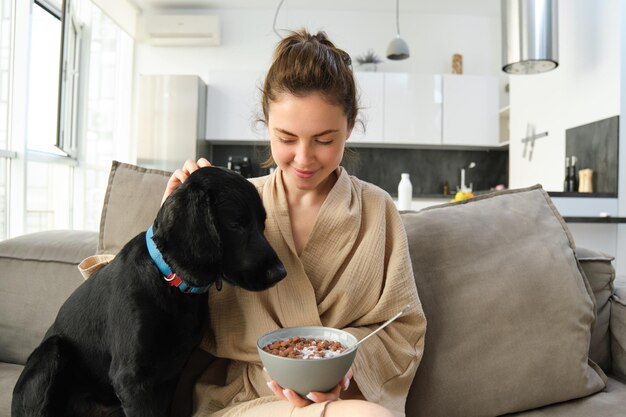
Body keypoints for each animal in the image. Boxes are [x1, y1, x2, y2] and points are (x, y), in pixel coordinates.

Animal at [12, 167, 286, 416]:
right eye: (236, 224)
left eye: (262, 224)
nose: (280, 273)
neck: (170, 283)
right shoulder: (132, 378)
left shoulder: (170, 376)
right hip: (52, 351)